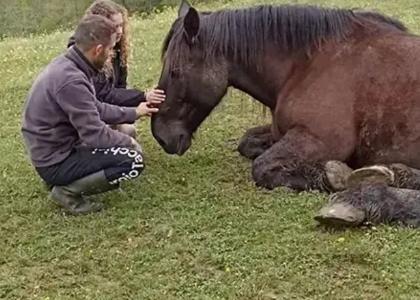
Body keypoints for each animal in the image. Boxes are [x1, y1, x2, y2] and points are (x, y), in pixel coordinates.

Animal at [152, 0, 420, 192]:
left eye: (175, 71)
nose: (161, 136)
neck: (306, 65)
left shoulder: (318, 139)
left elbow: (261, 168)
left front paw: (336, 176)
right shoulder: (280, 130)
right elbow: (246, 143)